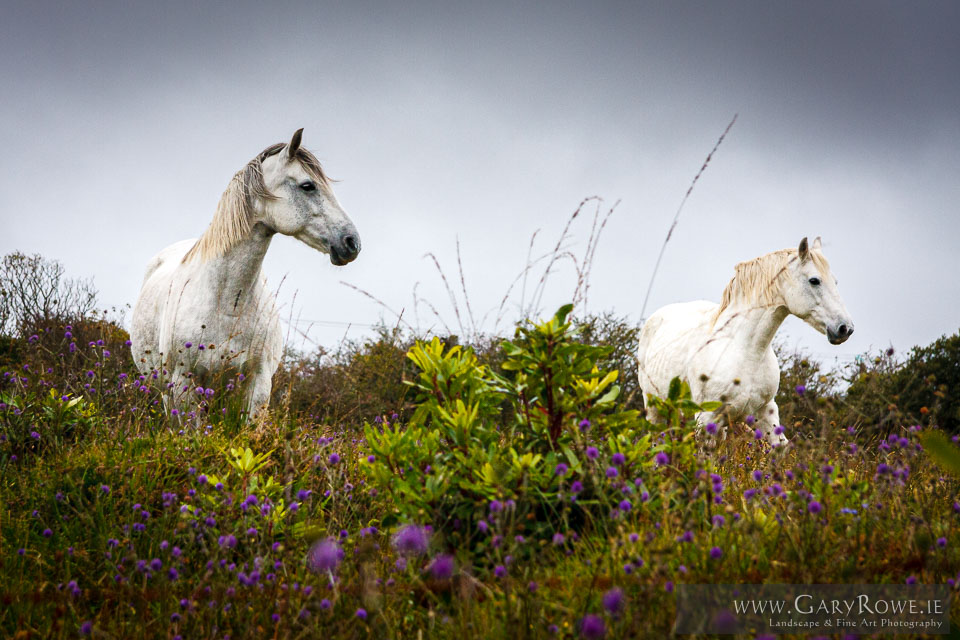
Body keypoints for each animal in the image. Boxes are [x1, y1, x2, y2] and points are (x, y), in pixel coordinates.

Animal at [131, 131, 360, 416]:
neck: (228, 302)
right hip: (166, 392)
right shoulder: (184, 384)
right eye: (308, 186)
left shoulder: (258, 382)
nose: (352, 242)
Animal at [636, 236, 856, 444]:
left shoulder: (765, 412)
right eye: (814, 280)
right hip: (655, 410)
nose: (845, 328)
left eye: (835, 281)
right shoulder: (706, 419)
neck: (746, 351)